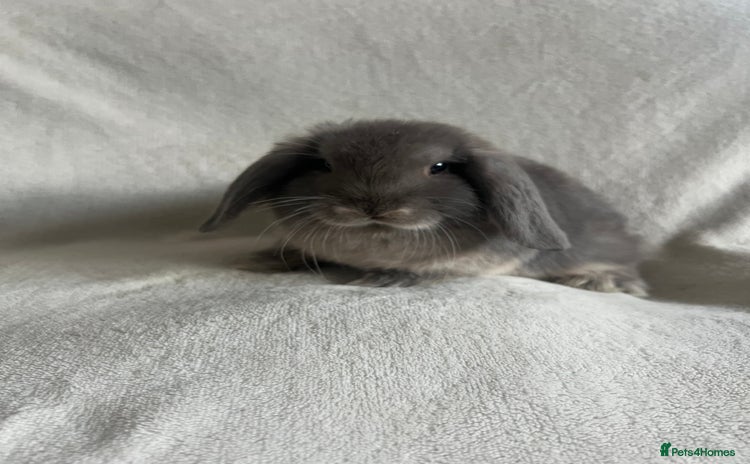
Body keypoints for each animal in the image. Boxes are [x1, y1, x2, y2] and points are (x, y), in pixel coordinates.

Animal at [200, 119, 647, 295]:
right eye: (324, 165)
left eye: (439, 167)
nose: (372, 204)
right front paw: (267, 257)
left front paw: (386, 278)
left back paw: (598, 280)